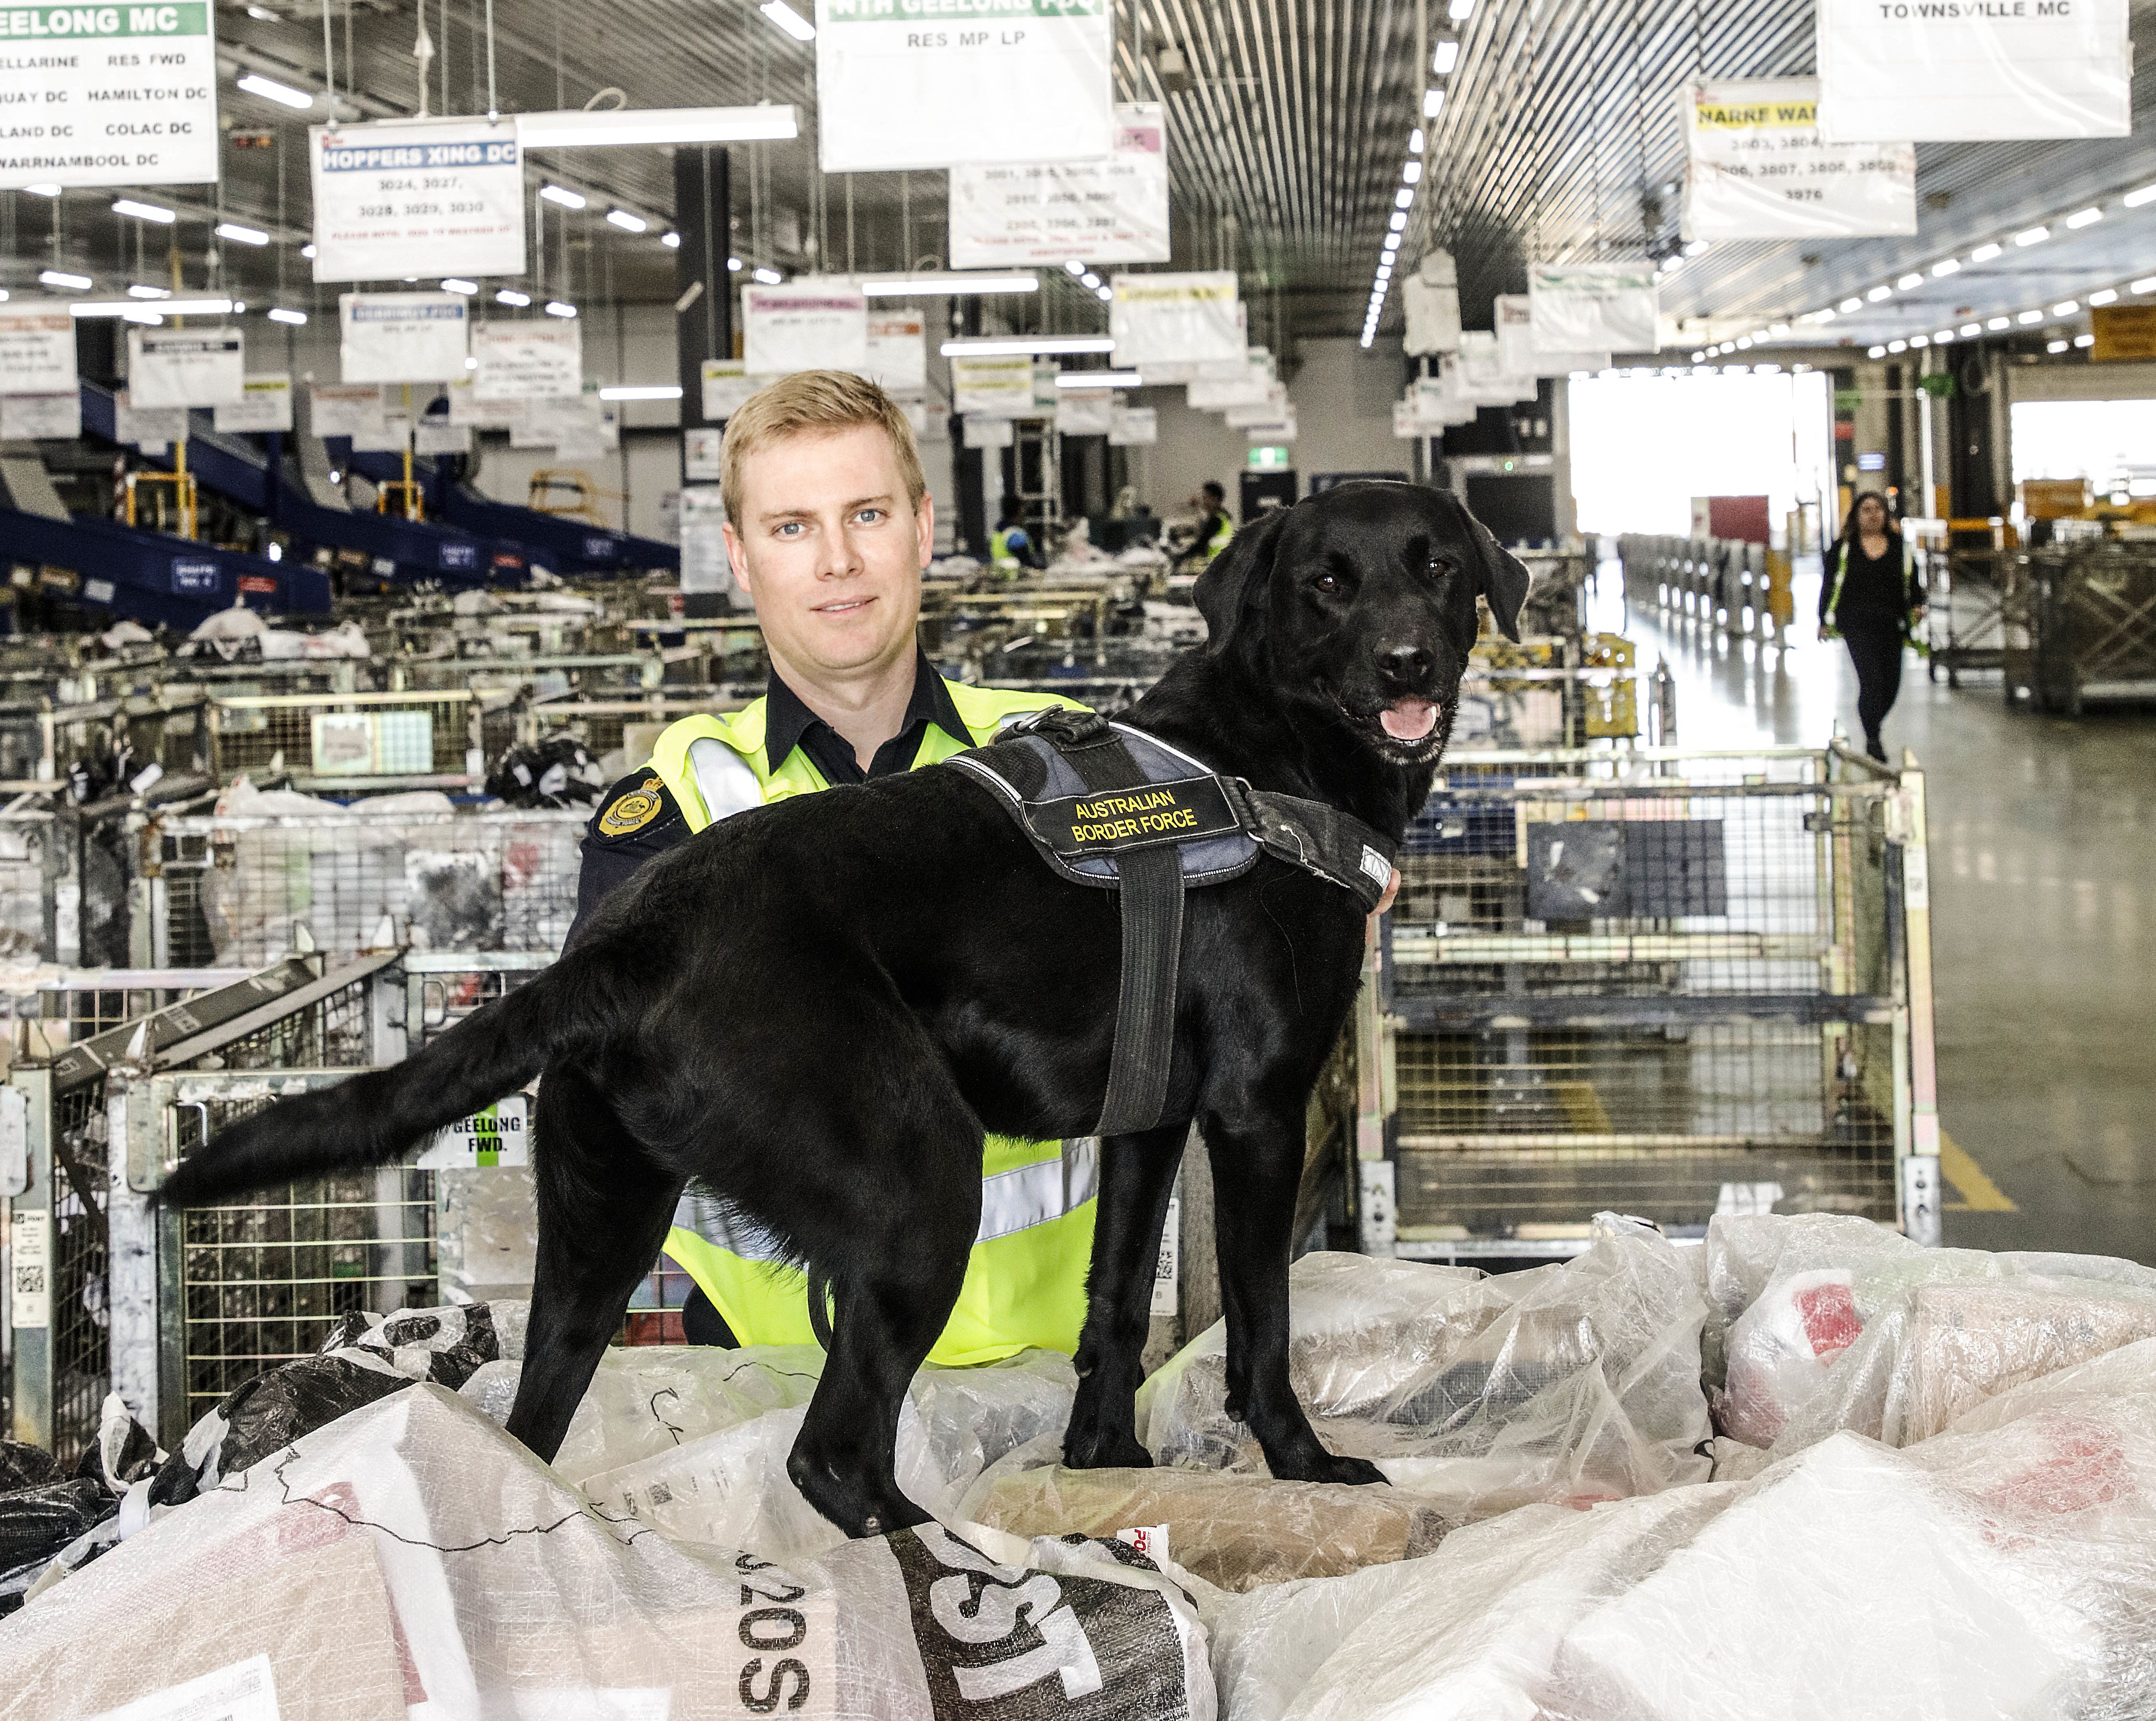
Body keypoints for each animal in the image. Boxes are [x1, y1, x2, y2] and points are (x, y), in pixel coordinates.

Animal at [168, 481, 1526, 1535]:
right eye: (1328, 584)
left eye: (1440, 567)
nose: (1408, 661)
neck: (1268, 758)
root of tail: (626, 940)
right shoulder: (1256, 1110)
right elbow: (1260, 1320)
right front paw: (1306, 1463)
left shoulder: (1147, 1122)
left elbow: (1113, 1303)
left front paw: (1104, 1457)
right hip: (918, 1185)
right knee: (830, 1452)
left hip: (601, 1237)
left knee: (550, 1422)